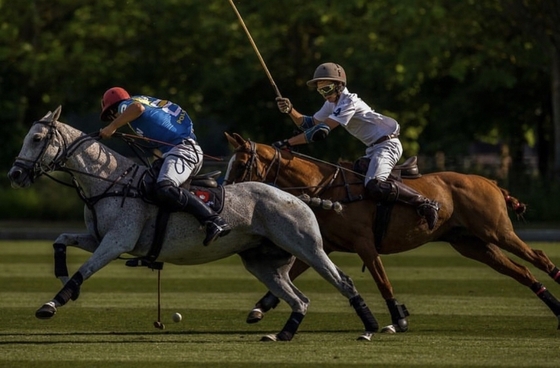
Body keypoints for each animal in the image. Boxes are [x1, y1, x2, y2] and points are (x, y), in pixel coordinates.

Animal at [6, 106, 378, 342]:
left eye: (37, 139)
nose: (15, 175)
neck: (110, 179)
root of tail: (299, 197)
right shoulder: (97, 237)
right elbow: (60, 239)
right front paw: (62, 276)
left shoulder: (117, 241)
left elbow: (86, 268)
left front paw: (52, 303)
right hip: (263, 262)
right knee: (300, 299)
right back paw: (283, 334)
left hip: (308, 247)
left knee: (343, 281)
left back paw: (370, 327)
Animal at [224, 132, 560, 330]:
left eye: (240, 164)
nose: (226, 194)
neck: (326, 187)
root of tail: (491, 182)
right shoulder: (324, 246)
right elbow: (290, 275)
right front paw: (260, 308)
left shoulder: (365, 244)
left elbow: (382, 280)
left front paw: (398, 319)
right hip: (472, 244)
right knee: (522, 272)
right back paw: (555, 308)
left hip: (496, 231)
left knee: (539, 256)